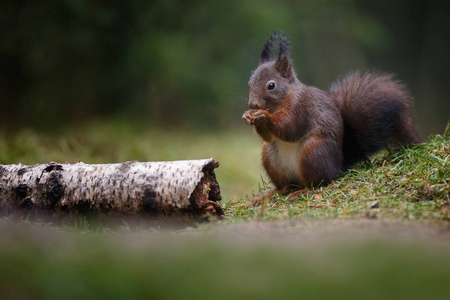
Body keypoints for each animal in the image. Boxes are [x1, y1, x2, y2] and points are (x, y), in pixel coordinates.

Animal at [243, 30, 422, 202]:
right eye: (249, 83)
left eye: (271, 85)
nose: (253, 105)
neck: (280, 102)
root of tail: (338, 166)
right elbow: (268, 137)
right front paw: (248, 115)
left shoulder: (302, 107)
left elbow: (289, 128)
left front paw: (264, 116)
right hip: (270, 158)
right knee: (285, 186)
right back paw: (269, 194)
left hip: (313, 152)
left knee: (319, 182)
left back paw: (303, 192)